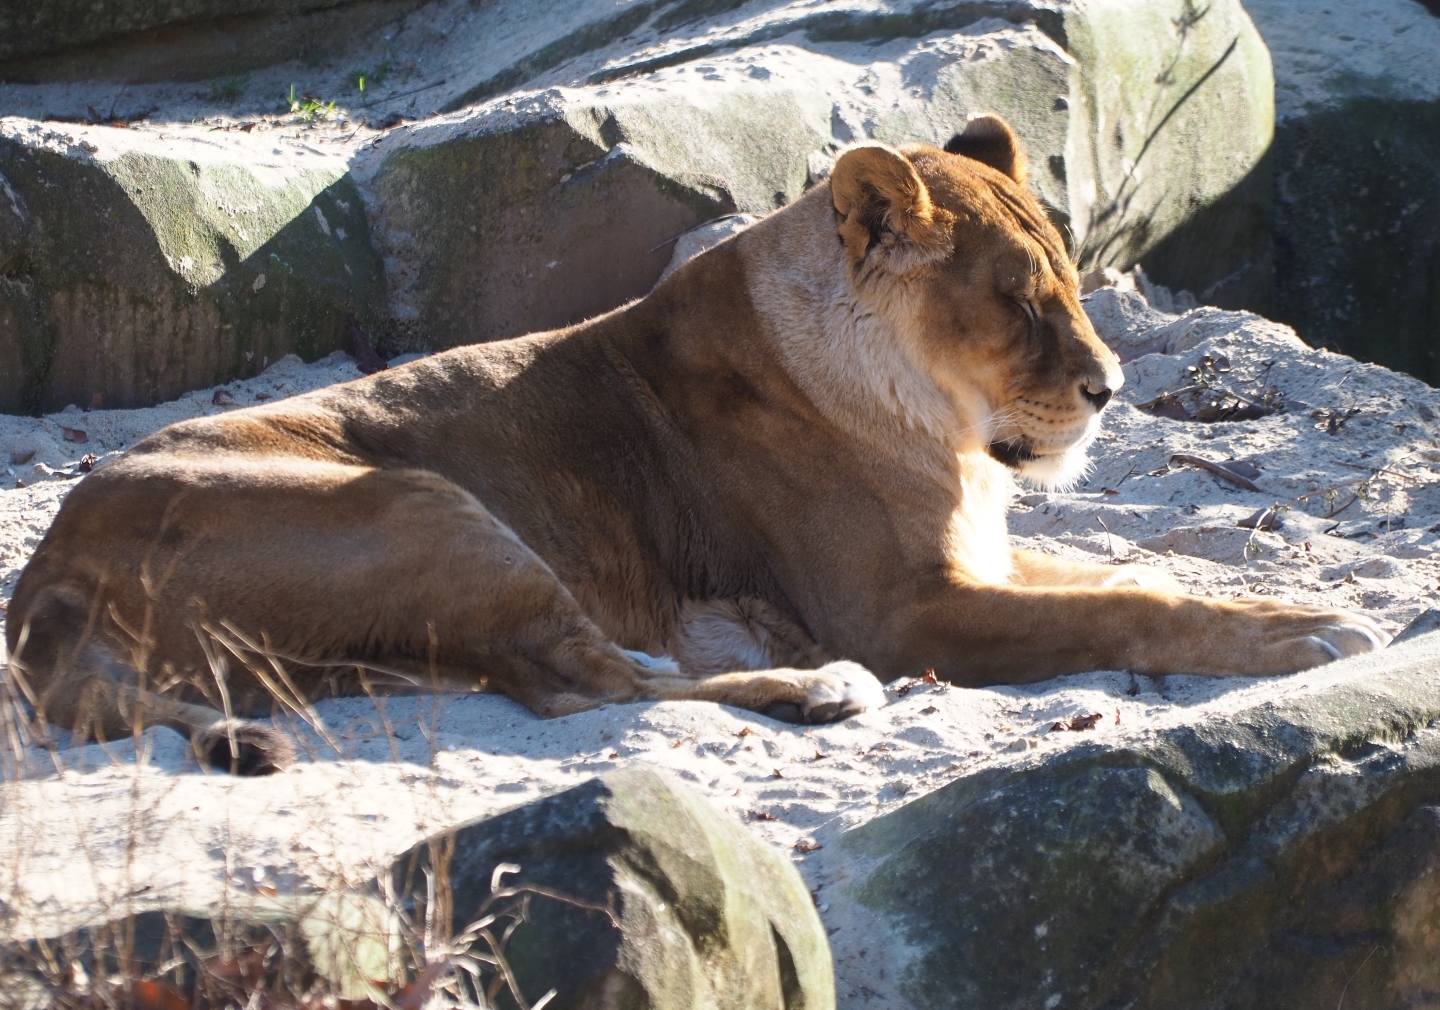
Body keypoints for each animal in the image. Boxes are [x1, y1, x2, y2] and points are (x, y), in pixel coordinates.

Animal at [4, 115, 1388, 774]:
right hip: (425, 502)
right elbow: (1122, 607)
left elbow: (1149, 573)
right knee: (593, 686)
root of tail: (45, 584)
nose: (1109, 390)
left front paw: (1293, 605)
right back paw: (814, 693)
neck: (927, 415)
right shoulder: (900, 609)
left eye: (1074, 283)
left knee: (551, 682)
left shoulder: (976, 560)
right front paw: (1316, 638)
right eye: (1017, 302)